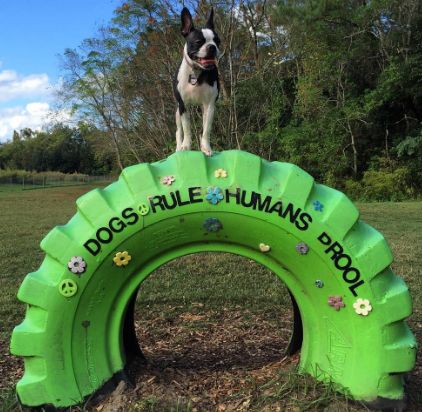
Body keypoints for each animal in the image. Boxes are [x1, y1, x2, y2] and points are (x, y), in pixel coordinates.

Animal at [174, 7, 221, 156]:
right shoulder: (183, 106)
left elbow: (206, 129)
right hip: (177, 112)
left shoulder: (210, 105)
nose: (212, 47)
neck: (197, 72)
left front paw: (206, 147)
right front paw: (185, 146)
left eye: (218, 41)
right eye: (198, 42)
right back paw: (178, 147)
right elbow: (187, 128)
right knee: (178, 131)